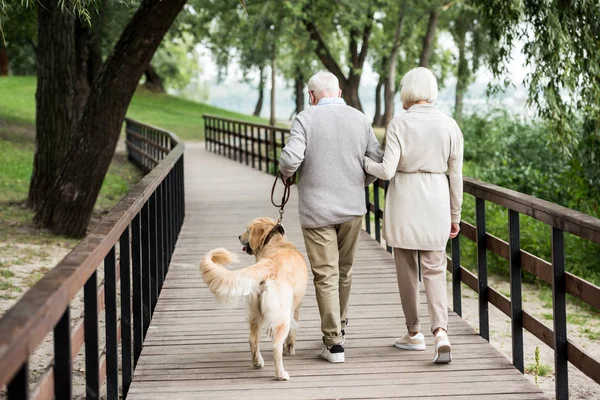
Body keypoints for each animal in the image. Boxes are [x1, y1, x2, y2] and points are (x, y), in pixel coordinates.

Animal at [202, 217, 308, 380]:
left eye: (247, 230)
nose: (239, 236)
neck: (275, 245)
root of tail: (268, 264)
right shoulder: (295, 308)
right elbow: (292, 334)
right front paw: (290, 348)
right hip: (281, 316)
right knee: (276, 345)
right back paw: (281, 374)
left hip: (254, 312)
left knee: (252, 339)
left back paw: (257, 362)